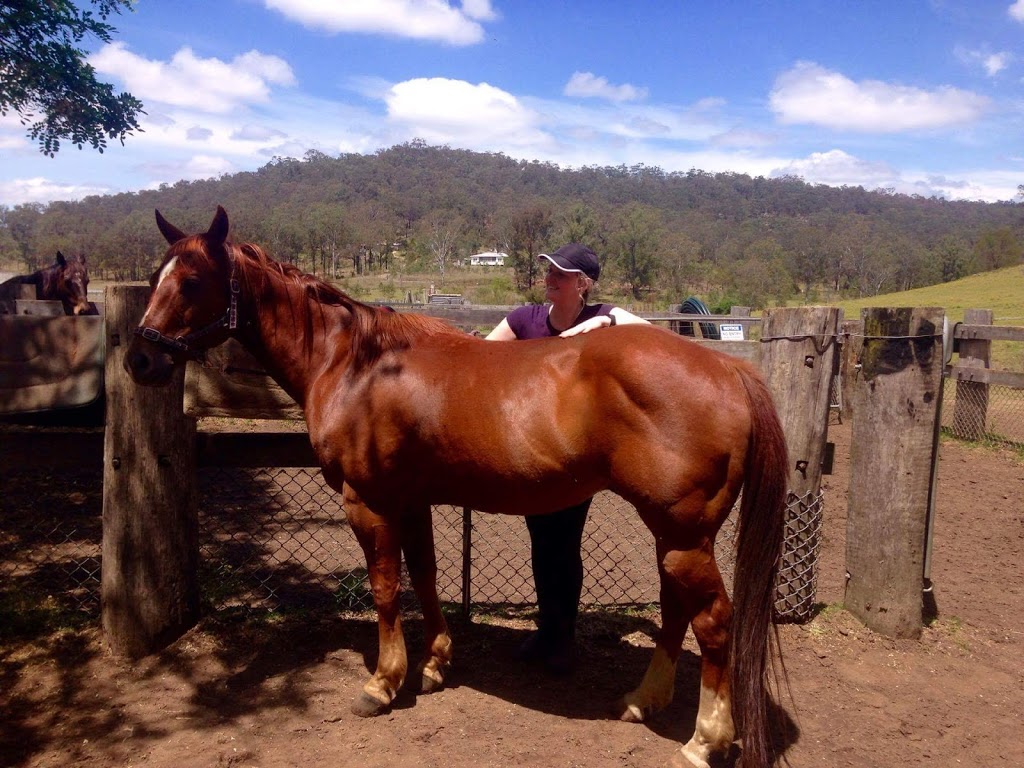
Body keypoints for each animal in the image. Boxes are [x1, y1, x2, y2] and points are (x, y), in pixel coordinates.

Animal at [123, 204, 786, 768]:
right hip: (673, 536)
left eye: (192, 282)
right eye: (157, 276)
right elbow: (425, 575)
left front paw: (383, 682)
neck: (356, 364)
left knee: (713, 621)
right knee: (676, 611)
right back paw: (641, 702)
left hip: (683, 535)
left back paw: (705, 740)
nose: (140, 361)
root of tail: (729, 367)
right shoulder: (411, 500)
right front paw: (435, 663)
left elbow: (385, 588)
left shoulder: (368, 503)